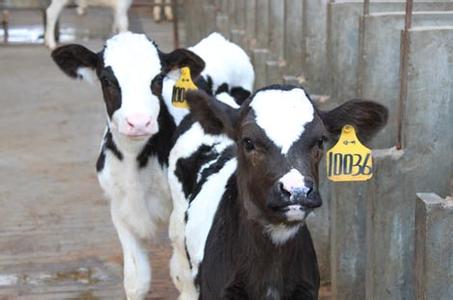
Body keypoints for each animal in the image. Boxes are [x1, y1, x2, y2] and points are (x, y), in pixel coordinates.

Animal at [50, 31, 254, 298]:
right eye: (107, 79)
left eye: (157, 79)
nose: (138, 122)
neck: (134, 165)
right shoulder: (119, 207)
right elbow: (136, 281)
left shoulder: (180, 212)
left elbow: (183, 276)